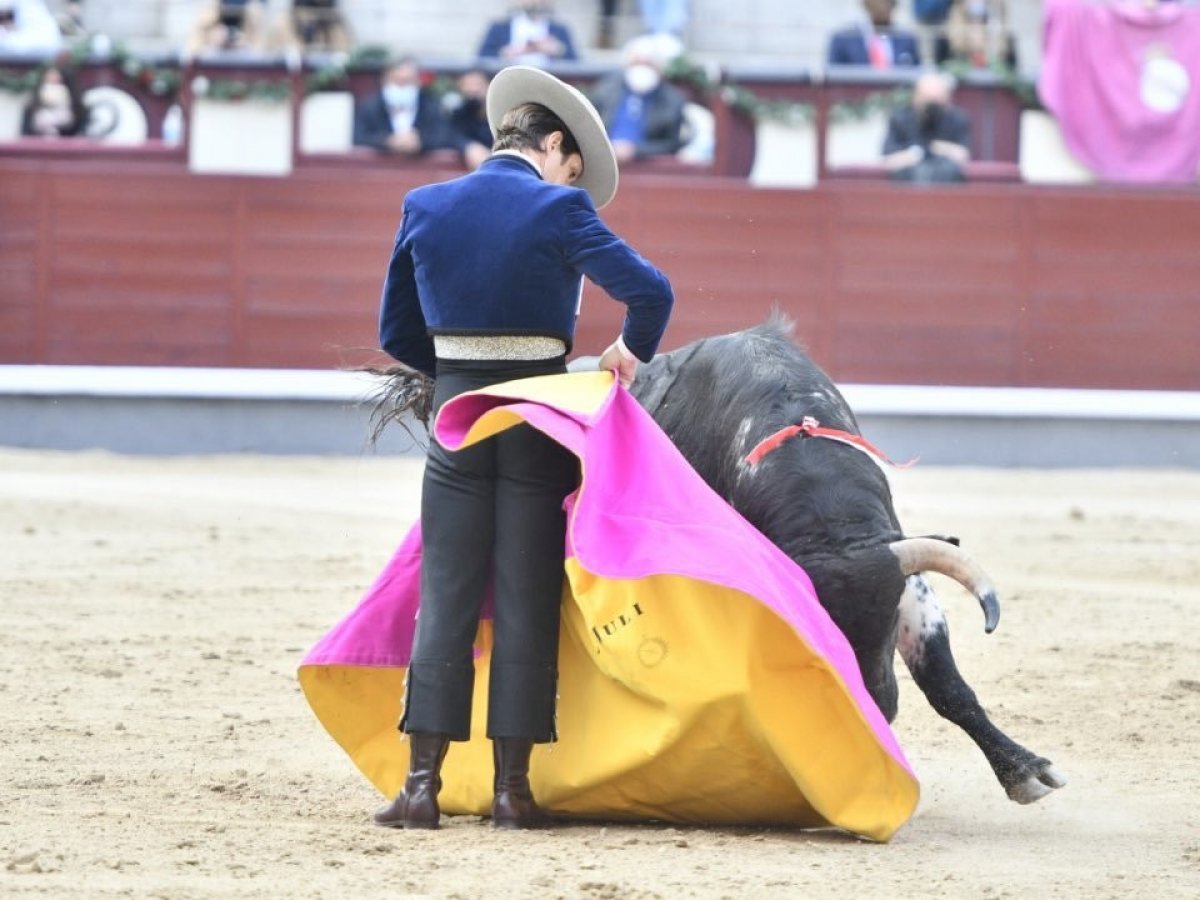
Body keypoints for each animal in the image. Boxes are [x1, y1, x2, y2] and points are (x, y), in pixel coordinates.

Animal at [369, 321, 1065, 806]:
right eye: (818, 634)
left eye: (884, 618)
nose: (877, 706)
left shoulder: (902, 577)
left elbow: (950, 688)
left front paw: (1026, 771)